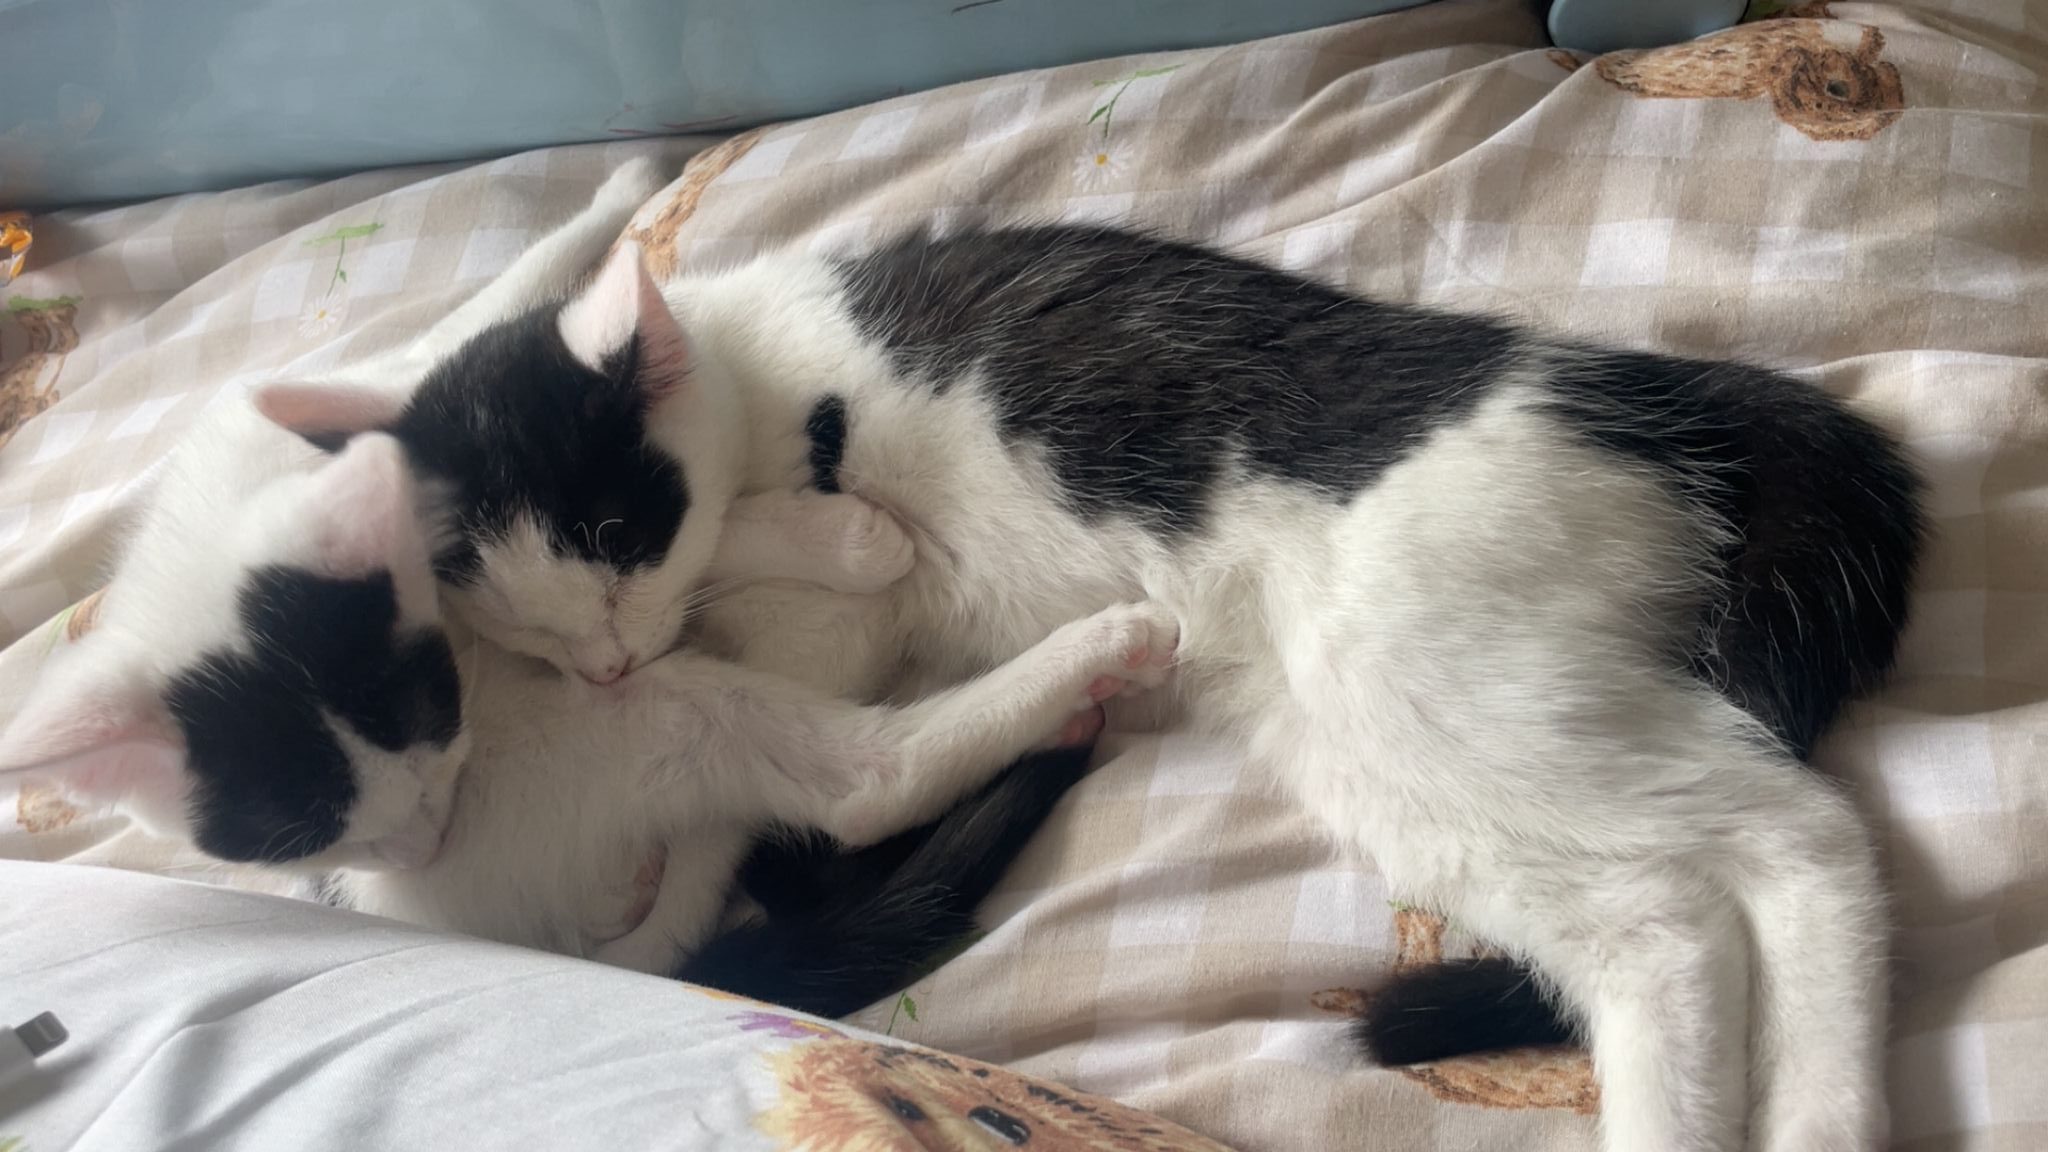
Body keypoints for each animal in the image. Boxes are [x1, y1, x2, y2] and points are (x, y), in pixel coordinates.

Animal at [258, 222, 1924, 1152]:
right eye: (522, 627)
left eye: (615, 547)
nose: (607, 668)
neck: (747, 360)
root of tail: (1666, 390)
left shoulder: (814, 593)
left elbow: (788, 688)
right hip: (1401, 758)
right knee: (1701, 897)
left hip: (1432, 684)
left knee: (1763, 863)